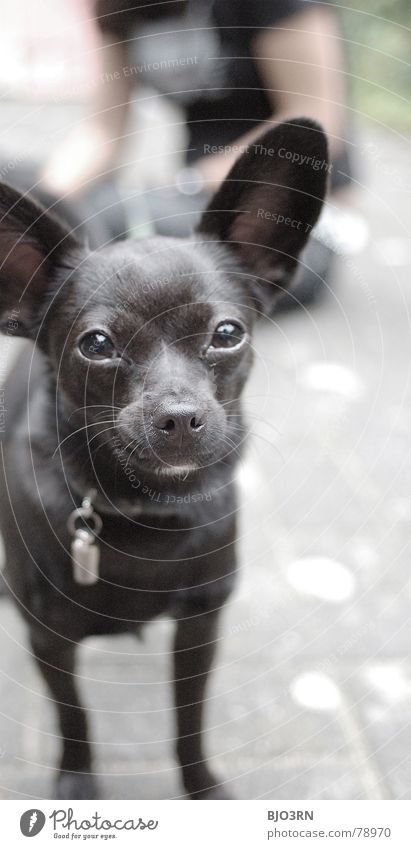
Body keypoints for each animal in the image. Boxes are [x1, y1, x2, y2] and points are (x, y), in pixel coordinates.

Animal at [0, 117, 328, 796]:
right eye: (97, 345)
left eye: (227, 333)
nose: (177, 416)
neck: (142, 514)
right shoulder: (49, 639)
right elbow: (74, 720)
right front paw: (78, 783)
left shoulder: (201, 625)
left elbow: (189, 722)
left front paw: (202, 786)